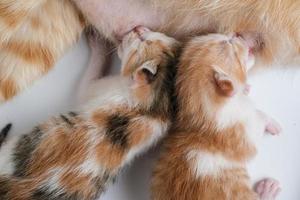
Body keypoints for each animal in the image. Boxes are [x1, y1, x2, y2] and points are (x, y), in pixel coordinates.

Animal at [0, 27, 179, 199]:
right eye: (154, 33)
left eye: (143, 40)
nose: (137, 29)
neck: (156, 106)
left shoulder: (97, 87)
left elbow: (90, 76)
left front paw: (99, 44)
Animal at [151, 33, 282, 199]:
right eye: (230, 42)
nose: (237, 35)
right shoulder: (248, 129)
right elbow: (260, 115)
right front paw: (274, 125)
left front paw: (245, 89)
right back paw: (268, 189)